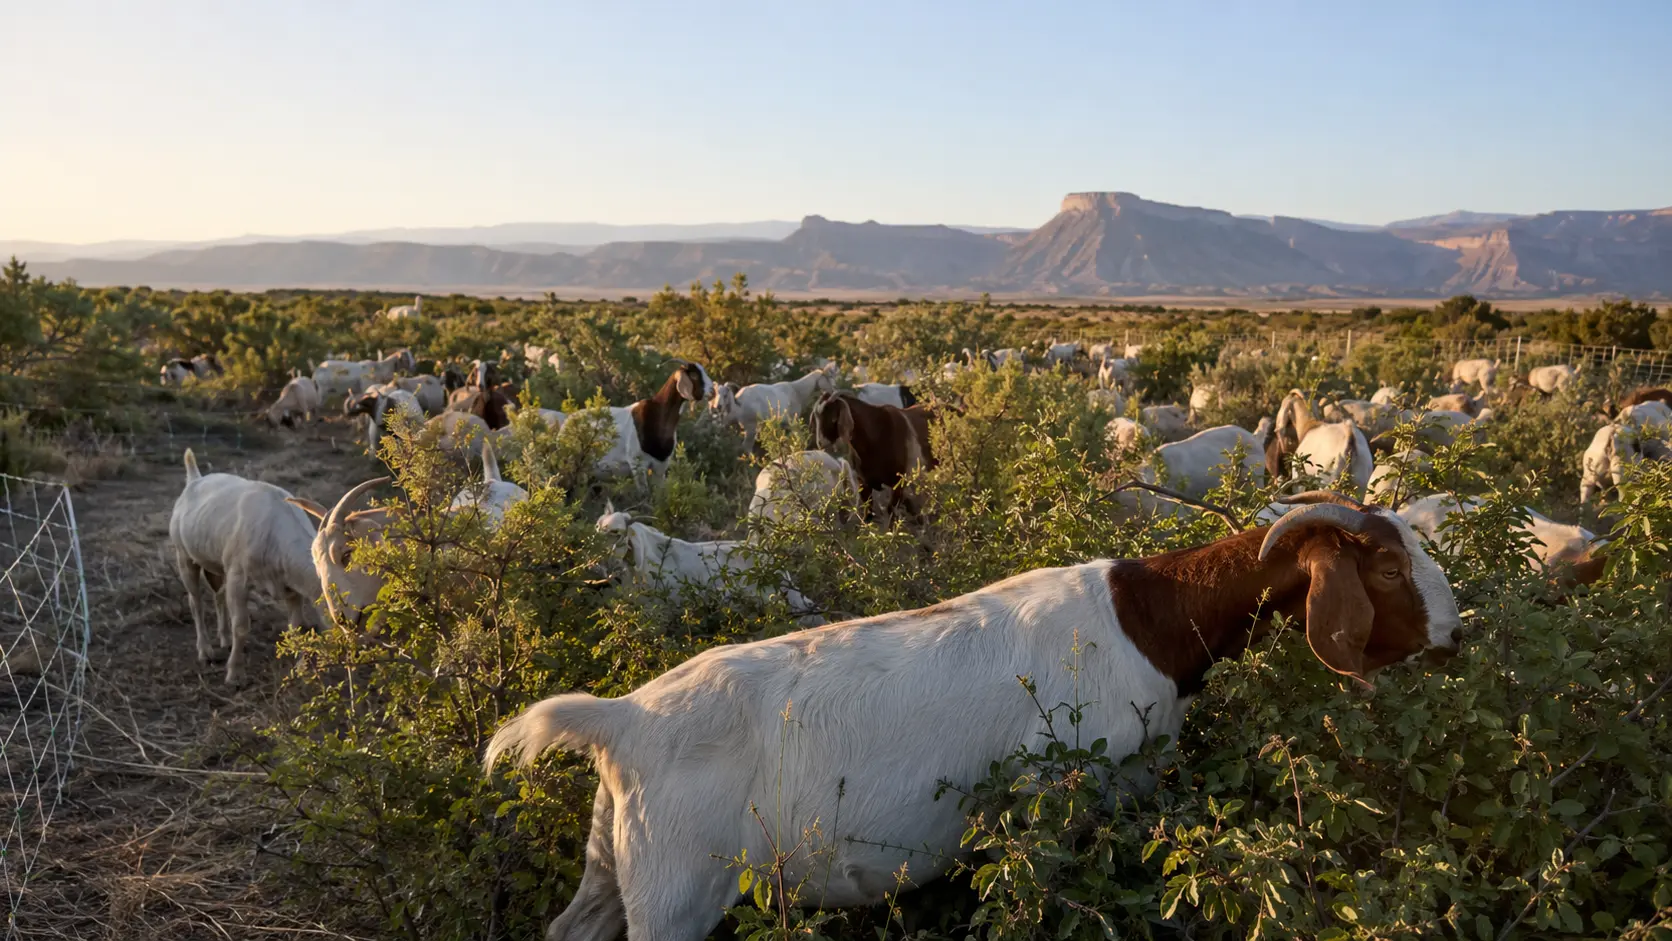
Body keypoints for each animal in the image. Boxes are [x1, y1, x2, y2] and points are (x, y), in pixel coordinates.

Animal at [169, 450, 324, 685]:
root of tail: (194, 479)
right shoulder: (238, 578)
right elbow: (241, 626)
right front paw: (234, 674)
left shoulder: (291, 587)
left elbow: (296, 626)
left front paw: (300, 669)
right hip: (184, 556)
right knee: (195, 601)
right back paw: (205, 652)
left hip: (217, 563)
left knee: (218, 595)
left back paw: (224, 639)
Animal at [483, 492, 1461, 940]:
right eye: (1383, 567)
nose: (1456, 633)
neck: (1148, 620)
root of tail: (623, 722)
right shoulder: (1072, 791)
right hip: (675, 891)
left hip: (615, 864)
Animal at [811, 391, 934, 521]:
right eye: (817, 417)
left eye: (833, 418)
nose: (820, 442)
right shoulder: (864, 483)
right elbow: (868, 514)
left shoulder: (898, 483)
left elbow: (891, 510)